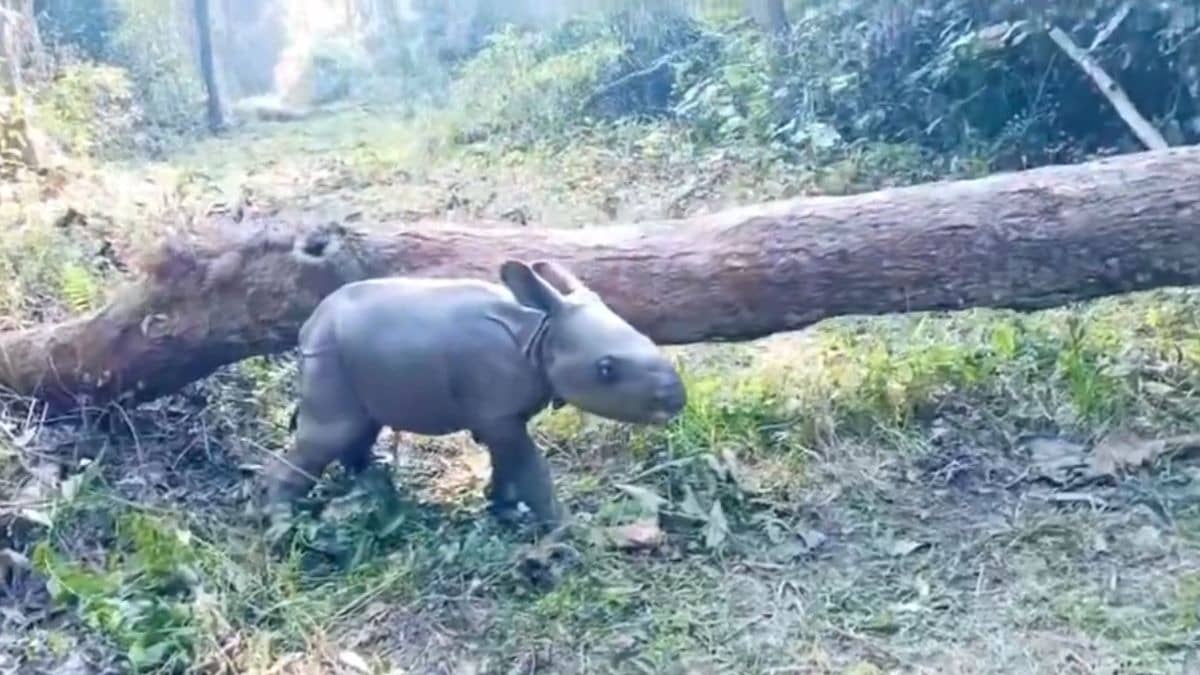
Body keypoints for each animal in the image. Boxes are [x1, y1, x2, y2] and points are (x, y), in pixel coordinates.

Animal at [264, 259, 687, 529]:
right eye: (606, 369)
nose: (676, 400)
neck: (541, 334)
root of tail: (309, 325)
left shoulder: (501, 416)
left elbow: (508, 462)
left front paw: (502, 508)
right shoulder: (498, 412)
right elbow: (529, 468)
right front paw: (568, 529)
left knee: (360, 425)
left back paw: (372, 481)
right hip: (328, 356)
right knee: (328, 433)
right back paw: (280, 526)